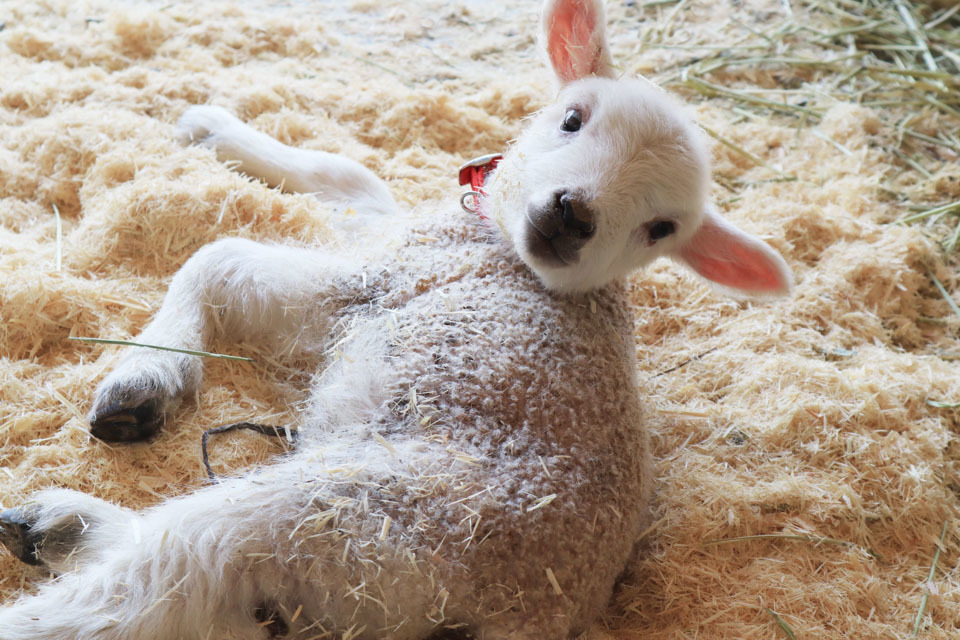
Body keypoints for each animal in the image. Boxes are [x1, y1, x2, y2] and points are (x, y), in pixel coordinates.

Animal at [0, 0, 792, 636]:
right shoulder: (385, 234)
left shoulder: (380, 282)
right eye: (574, 117)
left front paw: (146, 375)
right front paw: (212, 128)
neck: (494, 237)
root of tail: (540, 609)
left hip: (350, 515)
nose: (572, 217)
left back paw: (66, 543)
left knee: (164, 577)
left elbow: (218, 257)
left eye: (661, 228)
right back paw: (59, 530)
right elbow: (346, 175)